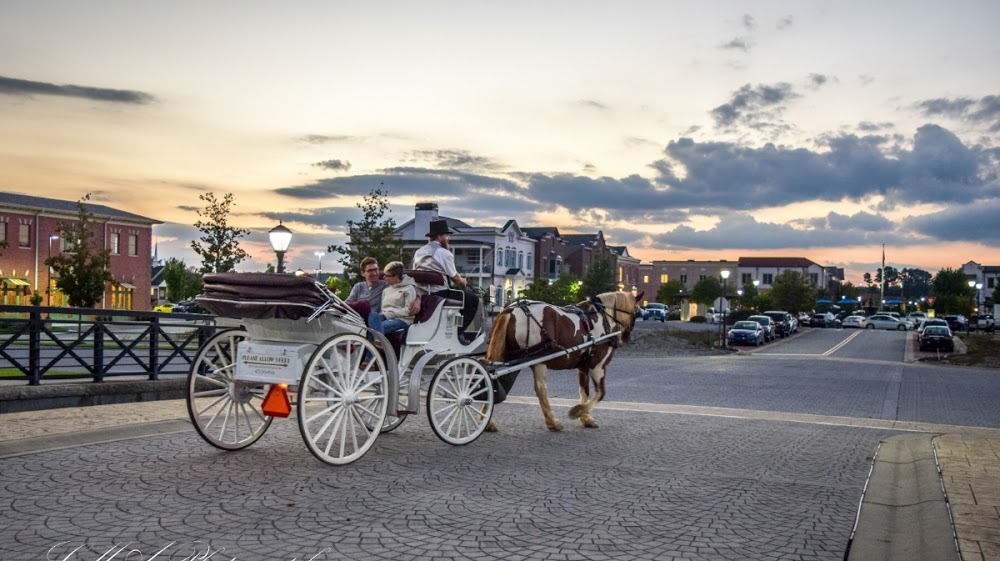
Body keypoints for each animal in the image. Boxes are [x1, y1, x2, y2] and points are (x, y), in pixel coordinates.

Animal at [484, 290, 640, 430]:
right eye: (637, 310)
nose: (626, 337)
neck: (603, 318)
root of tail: (510, 310)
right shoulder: (598, 366)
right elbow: (600, 393)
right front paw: (578, 411)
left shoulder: (584, 366)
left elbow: (584, 391)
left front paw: (586, 418)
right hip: (538, 361)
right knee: (541, 389)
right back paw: (552, 422)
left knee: (492, 381)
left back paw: (488, 421)